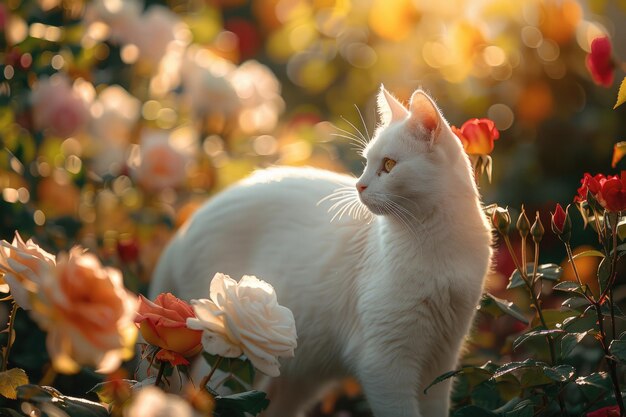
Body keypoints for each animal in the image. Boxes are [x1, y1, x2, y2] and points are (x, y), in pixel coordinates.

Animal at [150, 86, 492, 414]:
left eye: (389, 165)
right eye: (366, 162)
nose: (359, 185)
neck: (436, 245)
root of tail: (186, 226)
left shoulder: (441, 362)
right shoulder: (385, 363)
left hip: (297, 378)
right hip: (232, 363)